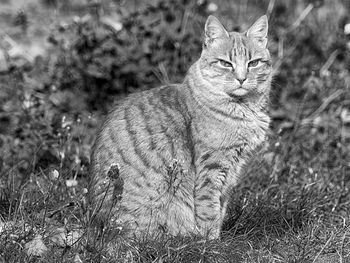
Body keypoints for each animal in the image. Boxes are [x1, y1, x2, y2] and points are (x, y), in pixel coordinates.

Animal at [89, 15, 272, 240]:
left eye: (253, 63)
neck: (243, 108)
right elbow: (209, 210)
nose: (241, 78)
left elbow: (221, 206)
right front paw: (212, 241)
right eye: (225, 63)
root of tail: (97, 230)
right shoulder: (212, 168)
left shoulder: (232, 170)